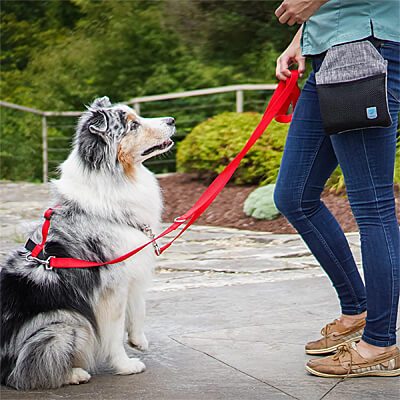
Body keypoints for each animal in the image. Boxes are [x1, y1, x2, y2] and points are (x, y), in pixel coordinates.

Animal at [0, 95, 175, 390]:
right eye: (133, 125)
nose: (172, 120)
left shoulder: (130, 267)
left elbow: (138, 305)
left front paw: (138, 340)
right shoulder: (110, 287)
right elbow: (113, 332)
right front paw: (125, 365)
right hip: (68, 321)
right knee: (23, 371)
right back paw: (74, 374)